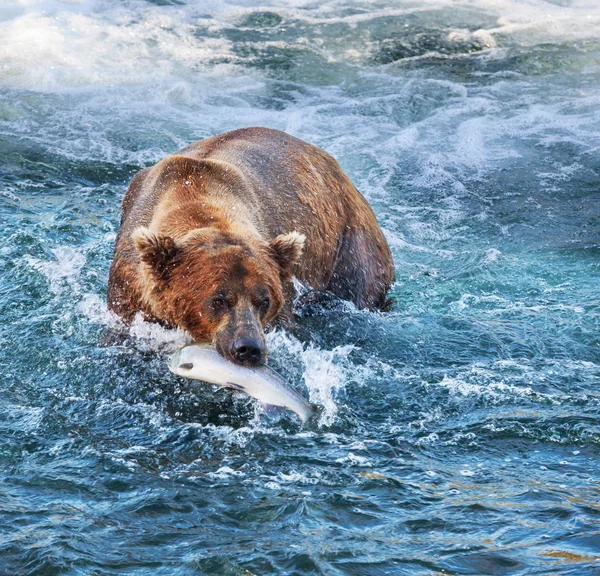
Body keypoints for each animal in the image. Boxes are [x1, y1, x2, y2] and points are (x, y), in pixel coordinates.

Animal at [108, 129, 396, 366]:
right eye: (218, 299)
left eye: (264, 300)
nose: (249, 348)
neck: (193, 193)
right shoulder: (129, 285)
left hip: (350, 245)